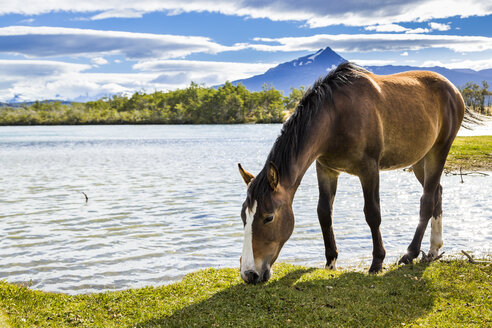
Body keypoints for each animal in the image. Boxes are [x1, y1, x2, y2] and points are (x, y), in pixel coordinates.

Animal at [238, 62, 466, 284]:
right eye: (243, 216)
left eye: (269, 217)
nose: (249, 274)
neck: (336, 118)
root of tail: (452, 89)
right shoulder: (326, 169)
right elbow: (324, 213)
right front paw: (331, 261)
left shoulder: (369, 169)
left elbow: (373, 214)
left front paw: (377, 262)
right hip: (420, 158)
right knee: (437, 192)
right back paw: (434, 249)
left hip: (438, 151)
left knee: (427, 200)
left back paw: (410, 253)